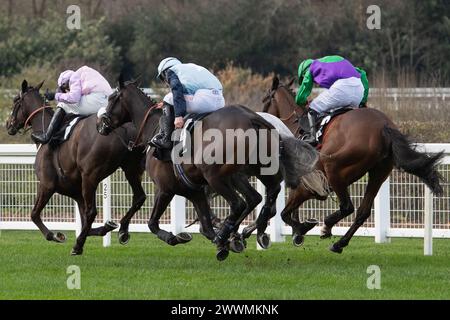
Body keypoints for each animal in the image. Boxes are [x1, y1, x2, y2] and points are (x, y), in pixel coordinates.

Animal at [6, 80, 147, 255]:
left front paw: (56, 235)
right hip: (131, 169)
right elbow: (87, 224)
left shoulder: (46, 184)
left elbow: (34, 215)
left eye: (15, 101)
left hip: (90, 177)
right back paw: (123, 230)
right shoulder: (77, 194)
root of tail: (122, 128)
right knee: (139, 197)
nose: (8, 124)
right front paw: (107, 226)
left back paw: (78, 246)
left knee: (92, 212)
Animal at [97, 77, 324, 260]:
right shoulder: (195, 192)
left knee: (240, 203)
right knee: (266, 195)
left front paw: (178, 237)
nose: (101, 125)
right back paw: (256, 231)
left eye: (111, 98)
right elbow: (205, 227)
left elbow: (153, 224)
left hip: (217, 175)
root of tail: (253, 117)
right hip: (256, 170)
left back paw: (235, 234)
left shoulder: (165, 189)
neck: (154, 129)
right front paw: (228, 239)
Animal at [260, 76, 442, 254]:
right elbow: (288, 211)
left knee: (347, 207)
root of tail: (384, 126)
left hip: (334, 167)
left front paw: (300, 230)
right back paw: (339, 243)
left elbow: (284, 213)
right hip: (378, 173)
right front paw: (297, 232)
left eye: (265, 99)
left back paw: (327, 226)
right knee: (362, 212)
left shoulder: (309, 187)